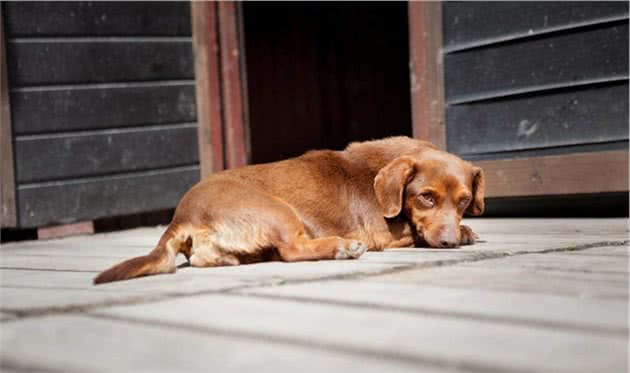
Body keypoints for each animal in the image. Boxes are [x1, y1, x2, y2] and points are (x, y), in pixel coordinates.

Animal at [94, 136, 486, 282]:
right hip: (278, 210)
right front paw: (464, 233)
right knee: (291, 249)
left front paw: (466, 229)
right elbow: (414, 233)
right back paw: (341, 247)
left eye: (465, 201)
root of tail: (182, 216)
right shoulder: (383, 232)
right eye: (426, 197)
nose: (449, 243)